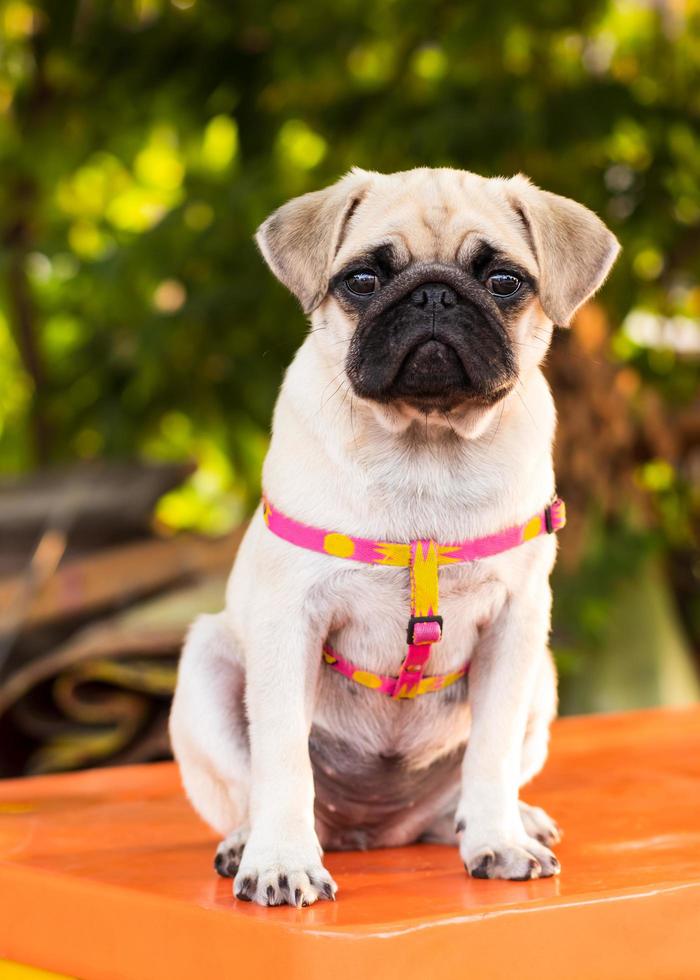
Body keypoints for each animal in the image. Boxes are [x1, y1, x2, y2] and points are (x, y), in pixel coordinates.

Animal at [170, 165, 616, 908]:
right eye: (362, 281)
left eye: (504, 281)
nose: (434, 293)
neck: (425, 448)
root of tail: (374, 832)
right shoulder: (291, 620)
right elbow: (282, 757)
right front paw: (282, 861)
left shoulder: (517, 625)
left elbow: (491, 751)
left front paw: (498, 840)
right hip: (205, 664)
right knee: (249, 788)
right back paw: (248, 843)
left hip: (542, 678)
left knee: (464, 793)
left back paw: (503, 822)